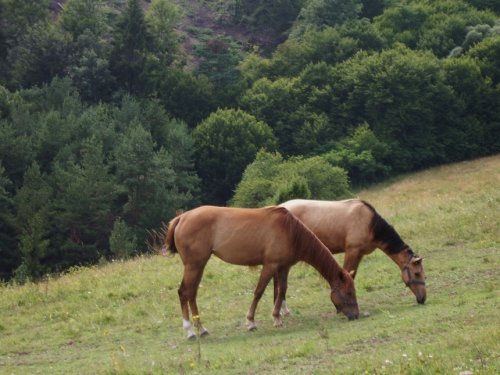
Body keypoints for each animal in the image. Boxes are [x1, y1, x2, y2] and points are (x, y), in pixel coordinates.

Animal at [160, 206, 360, 340]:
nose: (356, 315)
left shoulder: (283, 268)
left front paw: (277, 317)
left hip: (198, 266)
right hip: (194, 265)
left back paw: (201, 329)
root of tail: (181, 218)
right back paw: (190, 331)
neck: (290, 231)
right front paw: (251, 322)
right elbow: (259, 292)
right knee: (184, 293)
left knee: (191, 294)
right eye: (349, 292)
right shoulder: (270, 266)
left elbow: (281, 291)